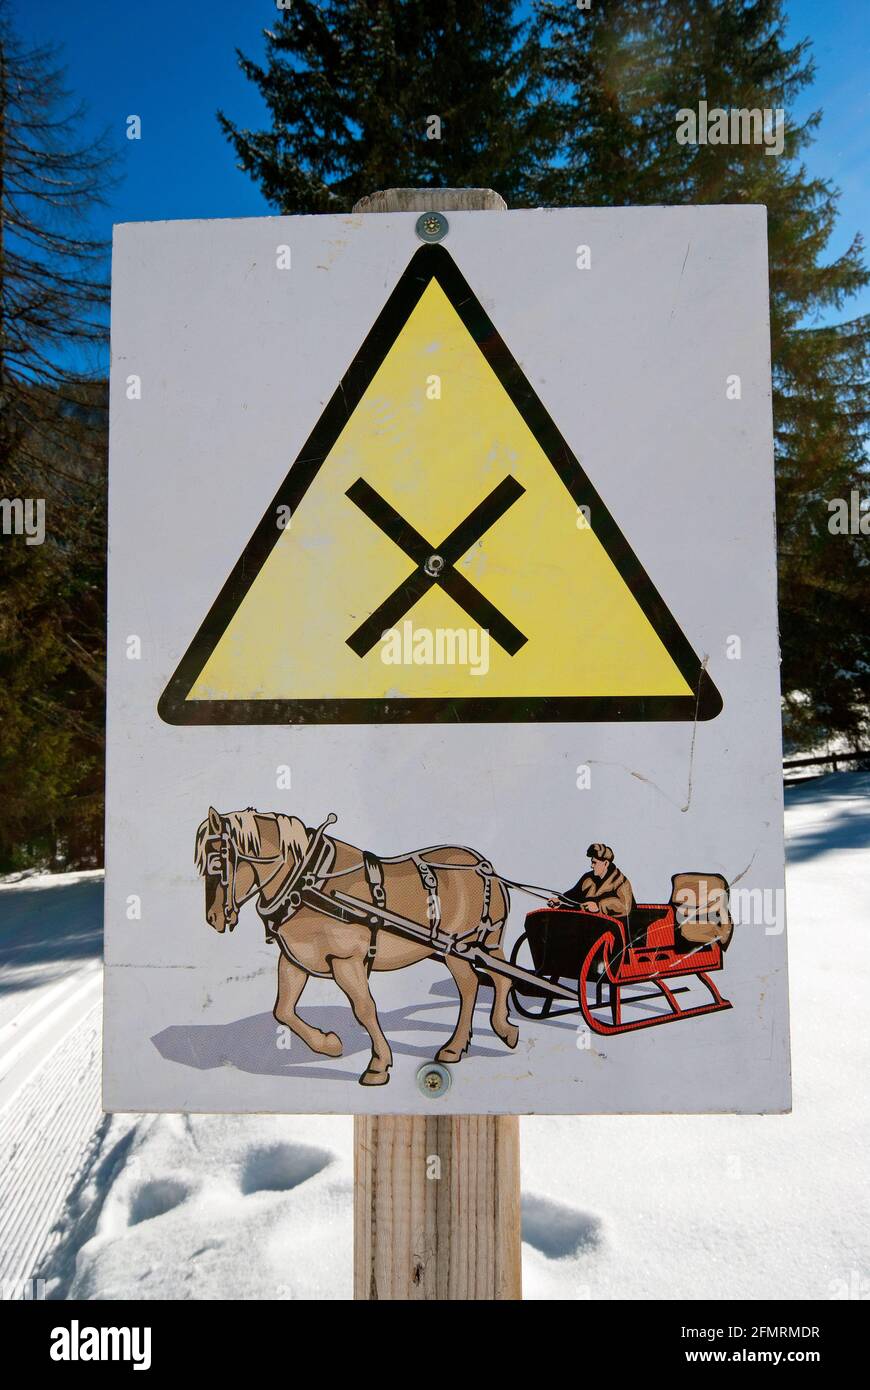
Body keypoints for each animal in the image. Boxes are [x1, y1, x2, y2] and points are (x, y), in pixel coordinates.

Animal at [194, 806, 514, 1084]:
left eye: (217, 863)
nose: (213, 918)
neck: (306, 884)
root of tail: (482, 865)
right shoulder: (296, 960)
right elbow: (283, 1009)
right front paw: (329, 1044)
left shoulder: (346, 960)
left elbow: (364, 1009)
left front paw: (378, 1065)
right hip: (461, 950)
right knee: (475, 985)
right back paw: (457, 1046)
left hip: (475, 944)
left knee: (498, 979)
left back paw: (503, 1030)